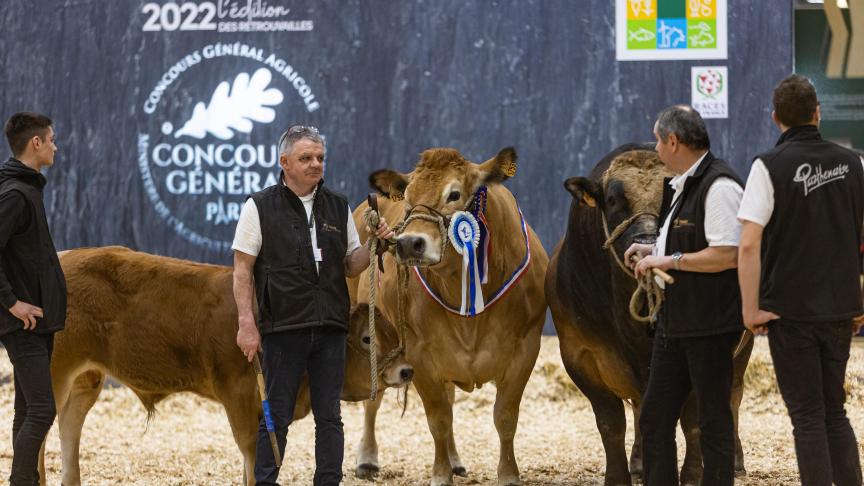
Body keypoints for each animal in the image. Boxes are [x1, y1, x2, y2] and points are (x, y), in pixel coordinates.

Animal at [42, 247, 414, 486]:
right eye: (367, 338)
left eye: (394, 332)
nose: (406, 370)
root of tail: (63, 256)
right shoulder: (239, 397)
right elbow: (252, 459)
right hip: (55, 375)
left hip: (86, 380)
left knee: (69, 430)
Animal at [352, 148, 548, 486]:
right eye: (408, 198)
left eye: (454, 194)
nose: (409, 243)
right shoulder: (419, 353)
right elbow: (439, 419)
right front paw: (441, 475)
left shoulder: (526, 347)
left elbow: (505, 417)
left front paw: (508, 474)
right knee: (372, 399)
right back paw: (367, 459)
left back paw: (456, 460)